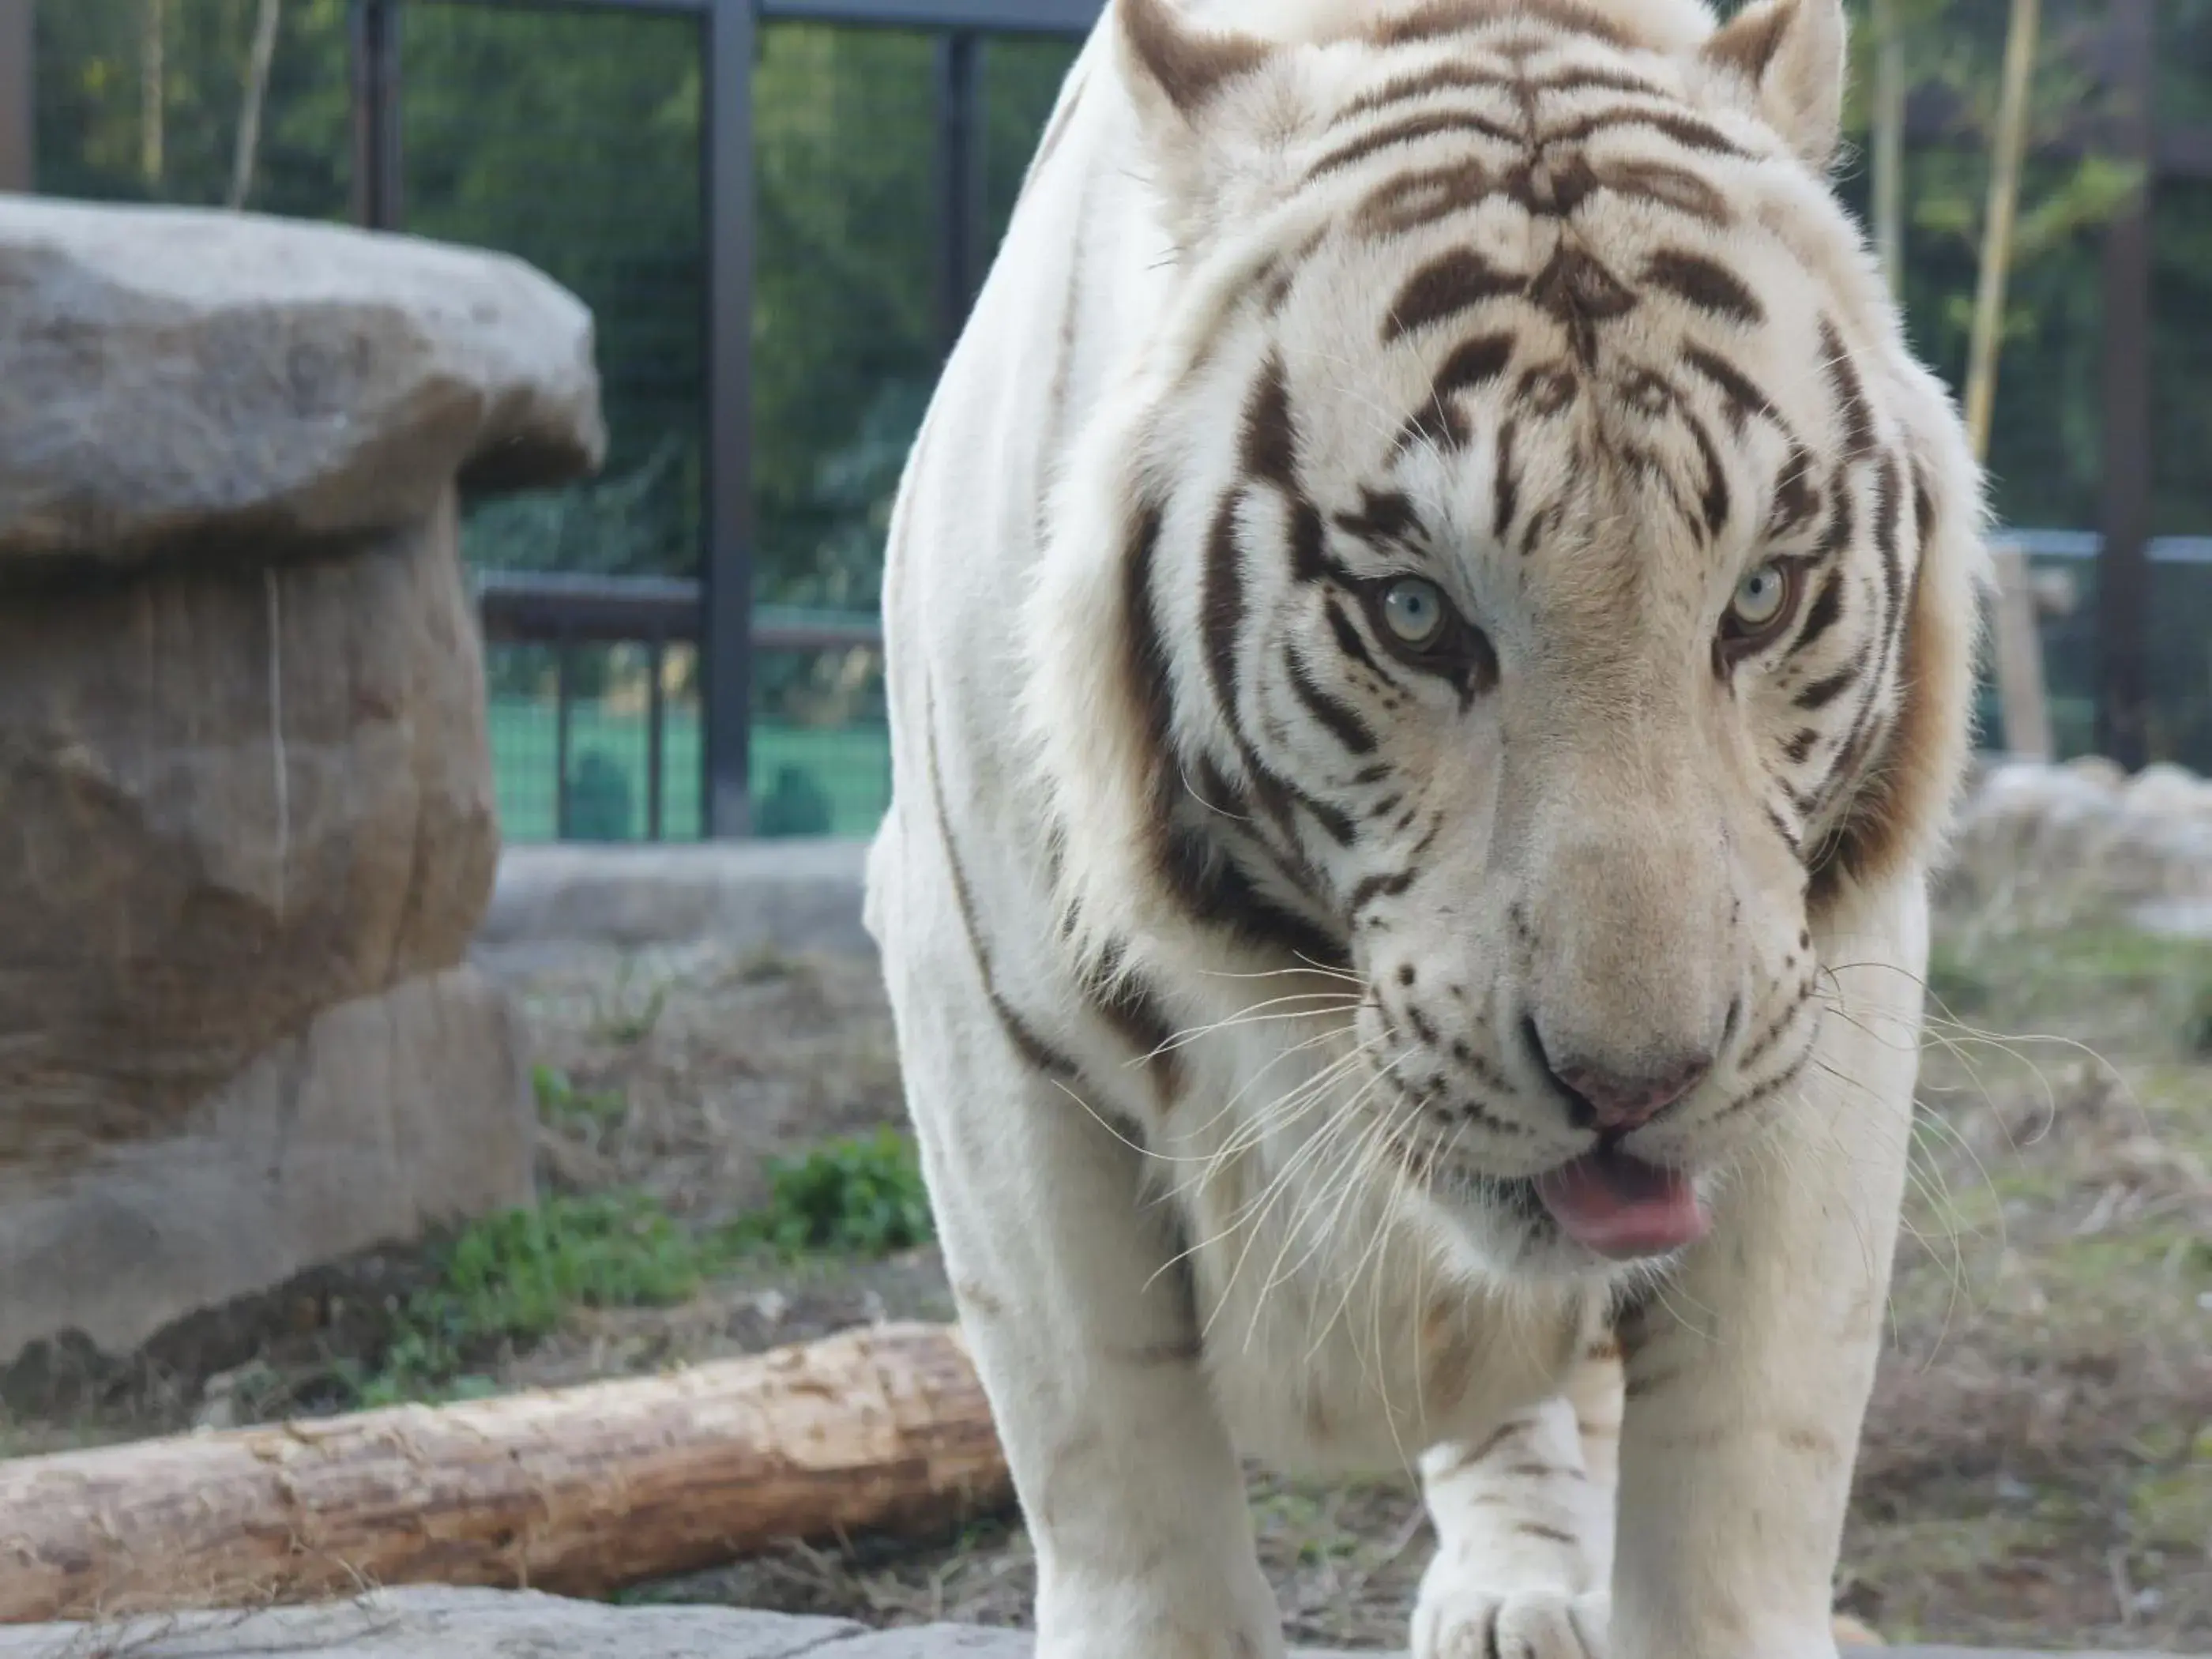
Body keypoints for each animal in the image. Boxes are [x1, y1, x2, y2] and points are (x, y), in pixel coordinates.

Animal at [863, 0, 1991, 1654]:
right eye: (1413, 615)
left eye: (1762, 596)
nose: (1634, 1086)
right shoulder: (983, 1019)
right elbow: (1120, 1476)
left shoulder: (1828, 999)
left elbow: (1738, 1490)